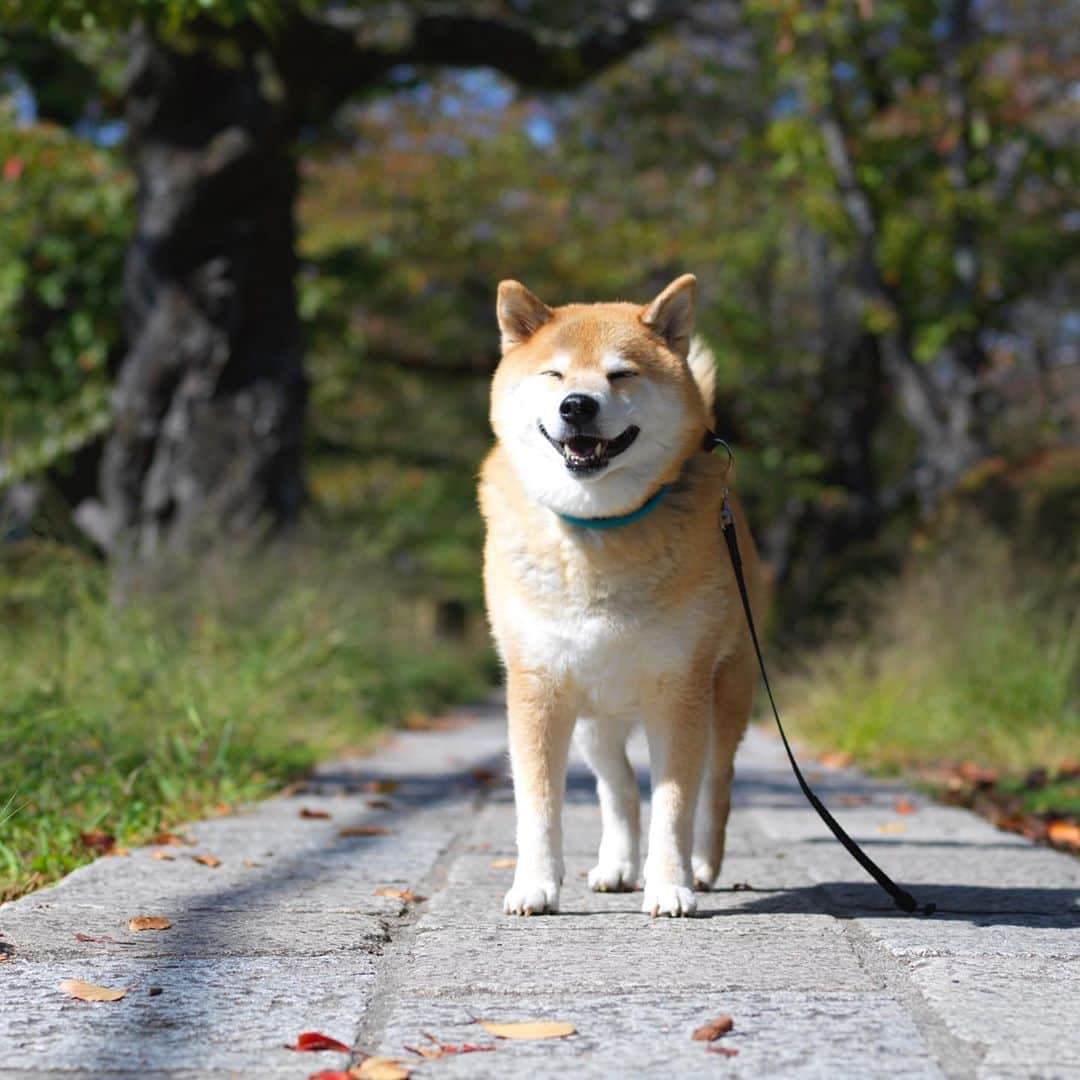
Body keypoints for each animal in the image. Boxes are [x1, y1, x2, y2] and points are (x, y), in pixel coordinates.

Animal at [481, 274, 760, 915]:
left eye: (621, 374)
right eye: (555, 374)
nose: (577, 405)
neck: (598, 529)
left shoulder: (680, 689)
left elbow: (675, 805)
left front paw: (671, 886)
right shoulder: (538, 687)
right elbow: (538, 805)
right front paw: (535, 885)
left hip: (725, 694)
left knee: (715, 788)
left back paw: (702, 865)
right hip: (594, 716)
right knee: (620, 789)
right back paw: (615, 865)